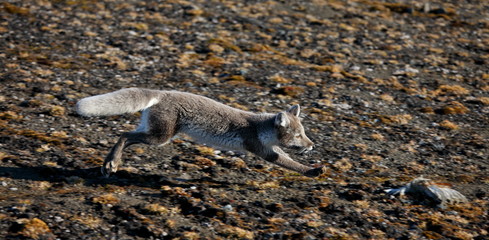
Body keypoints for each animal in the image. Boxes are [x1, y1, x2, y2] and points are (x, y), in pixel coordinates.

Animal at [76, 87, 326, 177]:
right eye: (297, 136)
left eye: (304, 133)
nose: (312, 146)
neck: (259, 128)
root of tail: (163, 93)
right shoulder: (261, 149)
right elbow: (289, 163)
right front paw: (313, 171)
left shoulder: (268, 148)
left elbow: (288, 159)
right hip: (160, 137)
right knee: (124, 135)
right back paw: (111, 164)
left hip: (153, 132)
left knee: (126, 136)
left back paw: (112, 163)